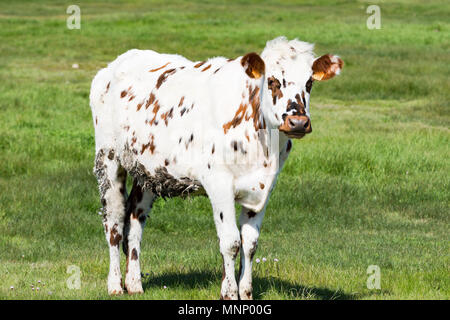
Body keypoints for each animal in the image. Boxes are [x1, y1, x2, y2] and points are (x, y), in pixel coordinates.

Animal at [89, 36, 342, 298]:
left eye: (309, 82)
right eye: (272, 81)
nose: (298, 122)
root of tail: (115, 65)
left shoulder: (265, 187)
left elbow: (250, 243)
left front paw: (246, 293)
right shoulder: (218, 183)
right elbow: (231, 242)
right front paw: (229, 293)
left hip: (148, 171)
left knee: (135, 219)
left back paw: (134, 283)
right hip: (108, 158)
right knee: (114, 221)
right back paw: (115, 284)